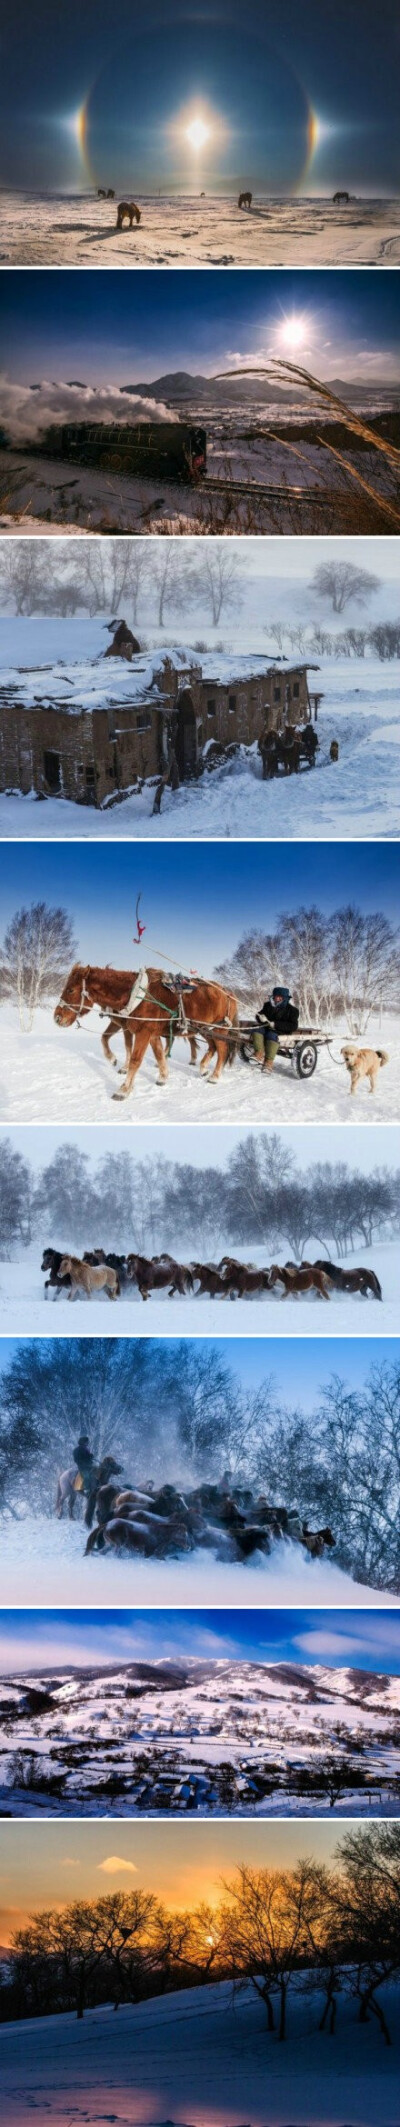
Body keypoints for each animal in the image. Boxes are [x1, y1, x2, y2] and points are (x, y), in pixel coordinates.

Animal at [54, 965, 239, 1097]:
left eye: (70, 989)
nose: (57, 1017)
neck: (135, 995)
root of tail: (228, 992)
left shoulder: (142, 1032)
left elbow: (135, 1059)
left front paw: (124, 1089)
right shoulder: (149, 1033)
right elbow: (157, 1054)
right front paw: (162, 1077)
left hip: (218, 1029)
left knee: (222, 1049)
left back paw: (214, 1075)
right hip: (206, 1029)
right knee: (213, 1047)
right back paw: (203, 1067)